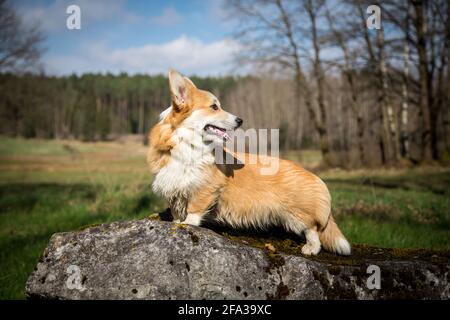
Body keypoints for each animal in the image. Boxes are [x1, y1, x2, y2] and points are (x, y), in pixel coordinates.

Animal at [148, 69, 352, 255]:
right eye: (214, 107)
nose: (240, 120)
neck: (187, 142)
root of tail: (314, 177)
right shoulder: (173, 186)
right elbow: (177, 210)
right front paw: (176, 223)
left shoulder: (205, 187)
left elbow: (193, 210)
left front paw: (187, 224)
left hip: (298, 215)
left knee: (313, 231)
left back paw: (310, 248)